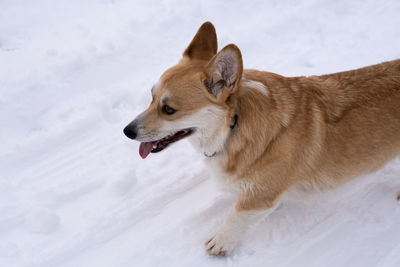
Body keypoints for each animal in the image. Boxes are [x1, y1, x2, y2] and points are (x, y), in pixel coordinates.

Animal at [122, 22, 400, 256]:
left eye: (169, 109)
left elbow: (235, 217)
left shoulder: (259, 197)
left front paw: (220, 243)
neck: (234, 125)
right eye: (151, 97)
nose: (127, 131)